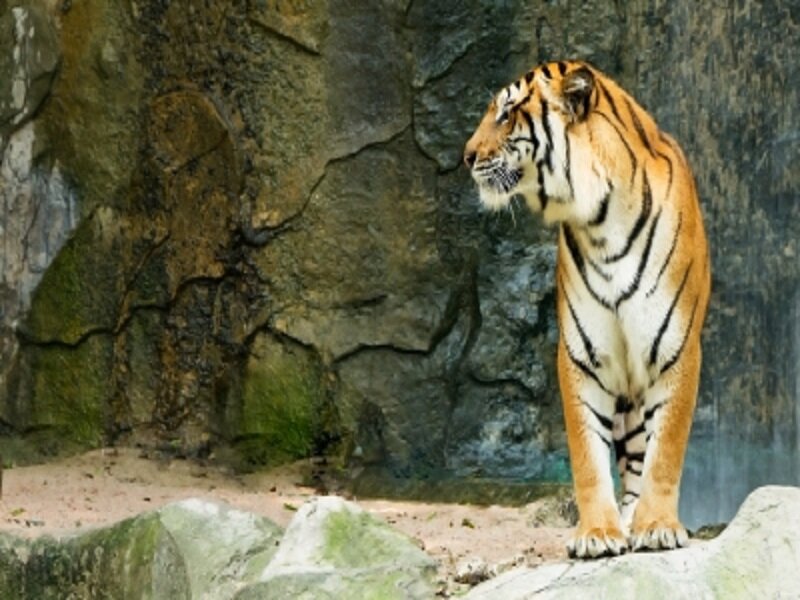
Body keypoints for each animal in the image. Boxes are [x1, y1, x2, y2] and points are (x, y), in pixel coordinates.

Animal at [464, 60, 710, 558]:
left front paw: (657, 527)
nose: (465, 156)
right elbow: (587, 455)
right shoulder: (583, 355)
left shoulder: (675, 349)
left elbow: (666, 451)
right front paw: (598, 533)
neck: (601, 220)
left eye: (506, 114)